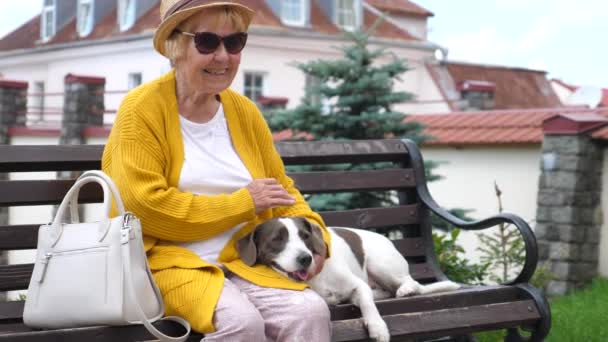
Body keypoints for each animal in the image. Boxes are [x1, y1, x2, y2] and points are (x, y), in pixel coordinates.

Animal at [235, 216, 458, 342]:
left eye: (305, 236)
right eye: (277, 239)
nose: (305, 258)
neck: (316, 276)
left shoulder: (357, 285)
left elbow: (367, 302)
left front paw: (377, 327)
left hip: (380, 263)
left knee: (410, 283)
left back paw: (406, 289)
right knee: (386, 290)